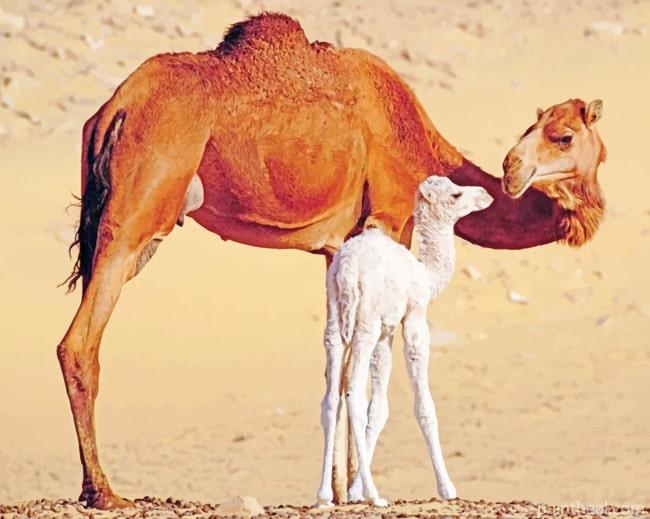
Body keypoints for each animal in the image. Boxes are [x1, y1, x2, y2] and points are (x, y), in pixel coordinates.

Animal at [317, 177, 493, 507]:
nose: (486, 195)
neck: (425, 273)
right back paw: (376, 496)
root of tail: (348, 269)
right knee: (353, 394)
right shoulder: (413, 318)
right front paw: (447, 488)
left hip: (335, 318)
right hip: (365, 321)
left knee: (331, 397)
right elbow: (424, 404)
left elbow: (379, 408)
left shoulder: (385, 333)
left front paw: (354, 491)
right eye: (456, 194)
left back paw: (323, 495)